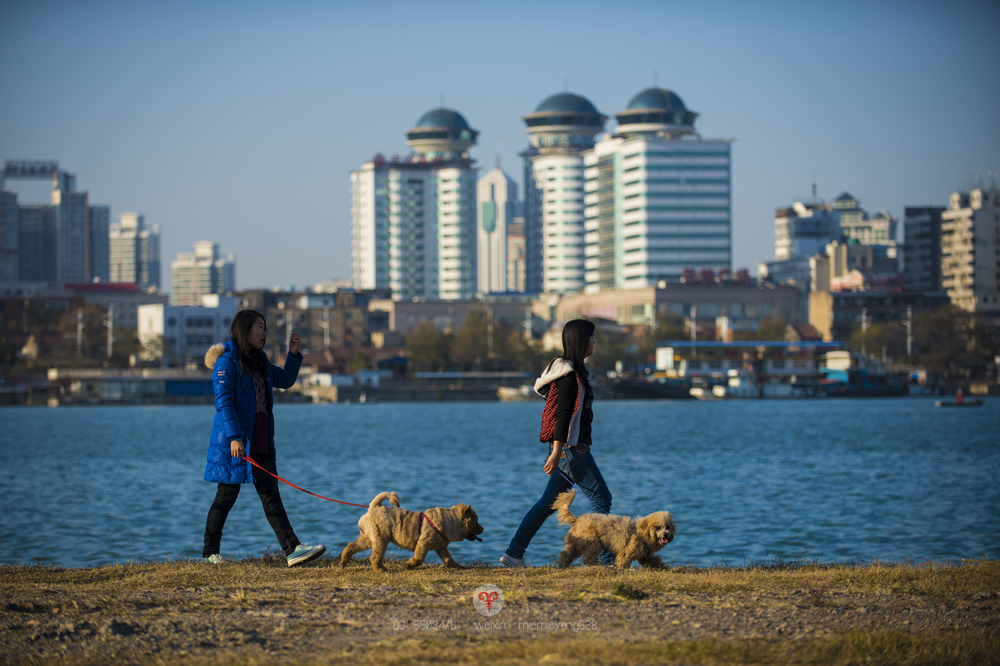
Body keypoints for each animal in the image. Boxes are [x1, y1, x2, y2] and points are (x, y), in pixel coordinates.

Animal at [342, 488, 486, 572]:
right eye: (476, 522)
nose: (483, 528)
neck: (450, 521)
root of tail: (374, 507)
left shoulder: (441, 548)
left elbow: (449, 559)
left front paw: (457, 566)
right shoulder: (423, 544)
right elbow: (419, 558)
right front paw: (409, 565)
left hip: (367, 539)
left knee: (351, 546)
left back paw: (343, 562)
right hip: (380, 540)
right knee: (374, 557)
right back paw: (382, 569)